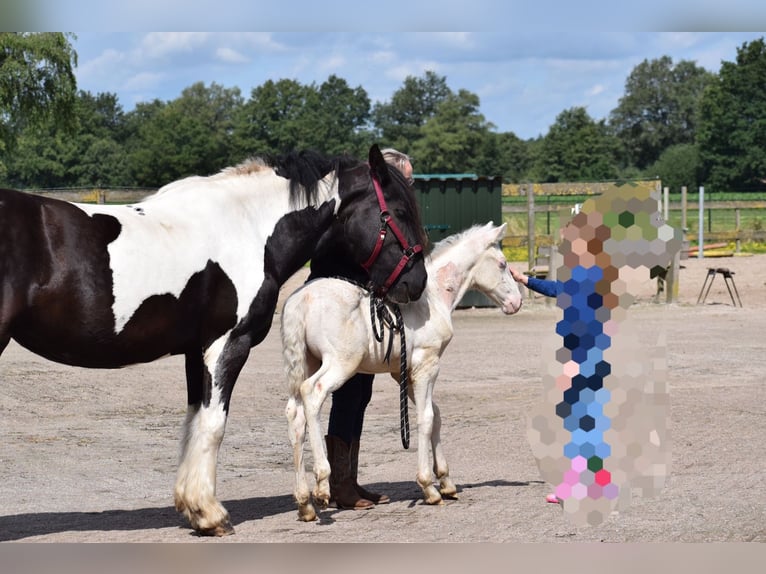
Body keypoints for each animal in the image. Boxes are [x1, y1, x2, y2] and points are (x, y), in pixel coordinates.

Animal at [0, 143, 428, 536]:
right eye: (400, 212)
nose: (416, 282)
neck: (248, 230)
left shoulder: (196, 350)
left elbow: (194, 422)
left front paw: (193, 507)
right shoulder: (228, 344)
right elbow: (214, 423)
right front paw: (211, 514)